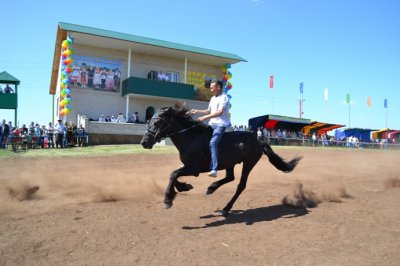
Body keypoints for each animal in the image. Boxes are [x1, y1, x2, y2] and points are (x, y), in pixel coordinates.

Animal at [142, 104, 302, 216]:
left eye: (157, 122)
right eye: (149, 121)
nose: (144, 142)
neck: (191, 138)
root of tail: (258, 140)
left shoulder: (194, 169)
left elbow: (173, 174)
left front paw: (168, 199)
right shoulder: (186, 166)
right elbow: (174, 175)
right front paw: (184, 187)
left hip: (248, 163)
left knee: (240, 185)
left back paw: (225, 208)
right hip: (230, 163)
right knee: (230, 177)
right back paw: (212, 188)